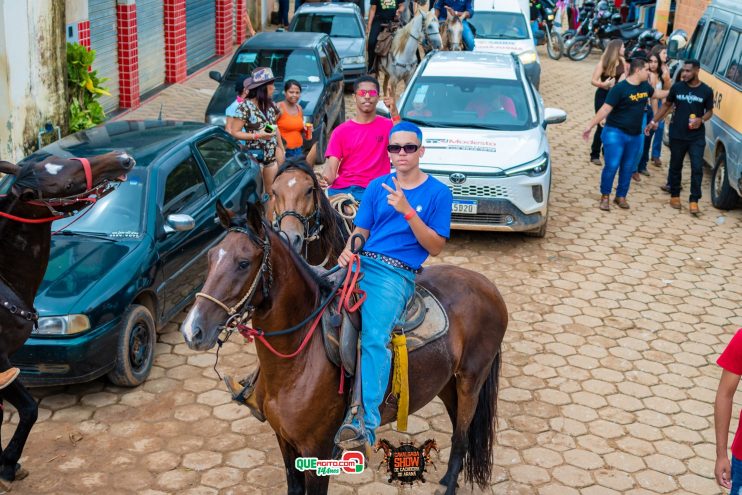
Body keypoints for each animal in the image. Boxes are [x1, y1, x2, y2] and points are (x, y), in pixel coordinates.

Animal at [0, 152, 134, 488]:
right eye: (67, 184)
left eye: (62, 158)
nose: (123, 158)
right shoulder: (1, 362)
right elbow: (29, 410)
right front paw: (7, 463)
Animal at [182, 201, 508, 492]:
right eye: (210, 258)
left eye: (243, 263)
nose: (192, 330)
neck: (298, 361)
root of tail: (487, 285)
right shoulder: (284, 441)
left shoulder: (316, 449)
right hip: (447, 382)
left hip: (471, 380)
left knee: (462, 436)